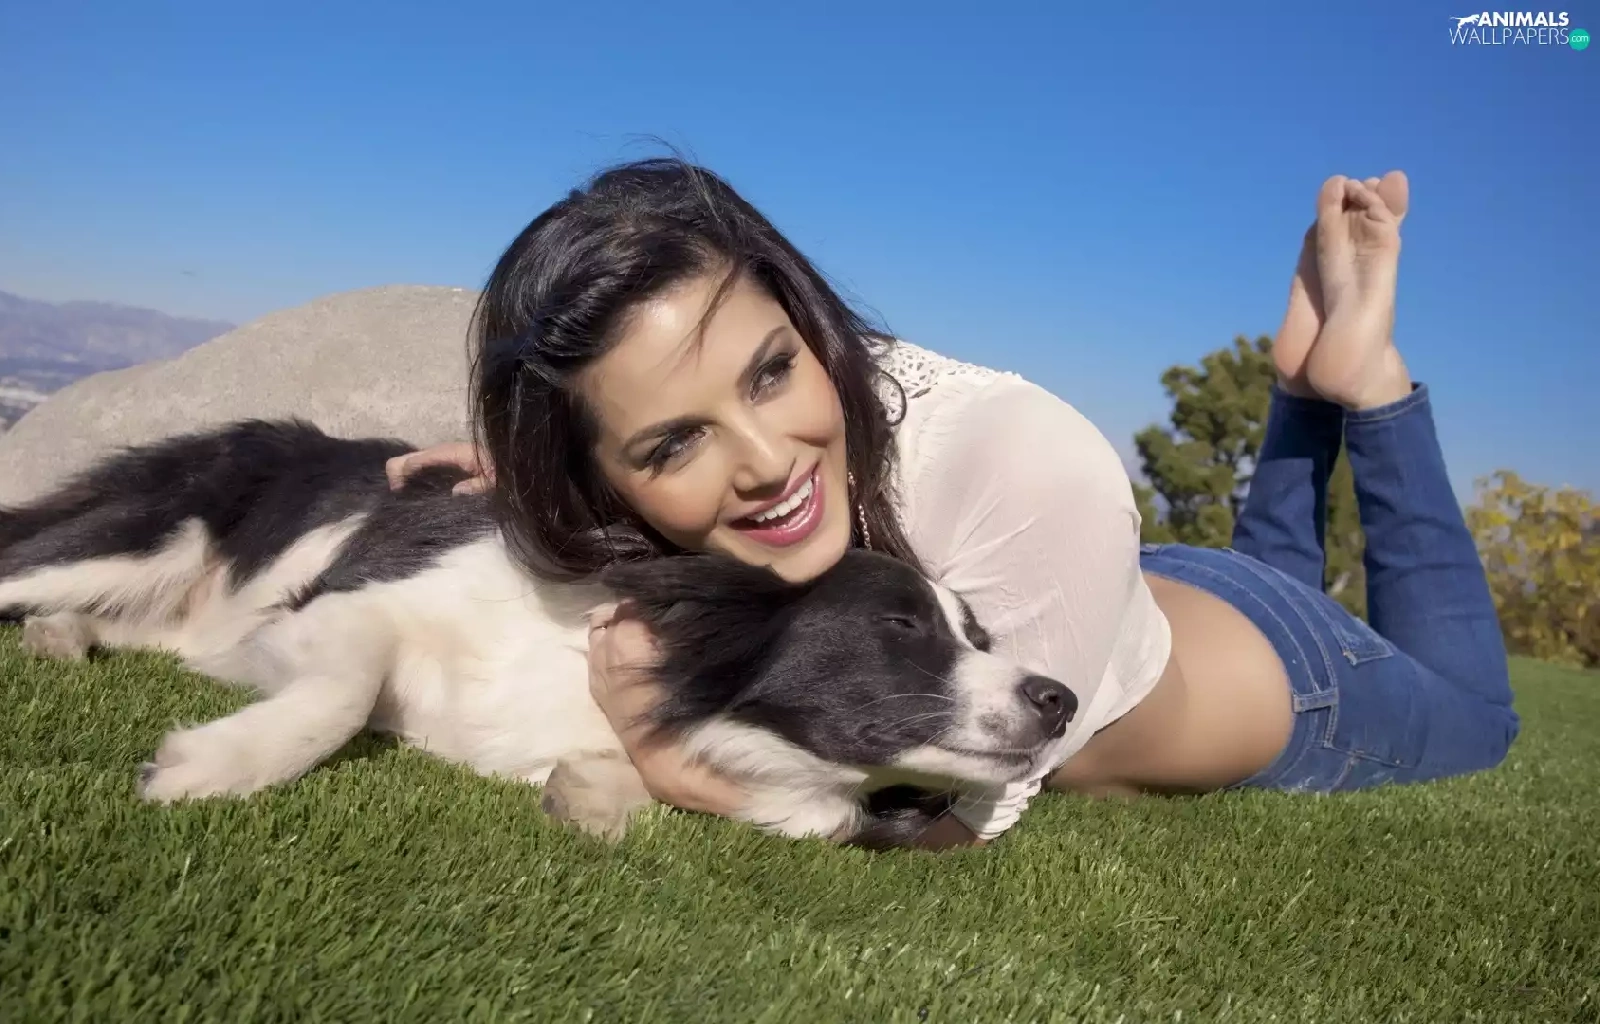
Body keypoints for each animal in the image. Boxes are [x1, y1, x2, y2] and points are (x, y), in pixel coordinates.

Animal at [0, 418, 1077, 849]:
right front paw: (211, 767)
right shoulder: (344, 604)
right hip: (141, 534)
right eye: (901, 624)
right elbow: (340, 694)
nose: (1060, 698)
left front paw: (591, 795)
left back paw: (64, 639)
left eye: (979, 634)